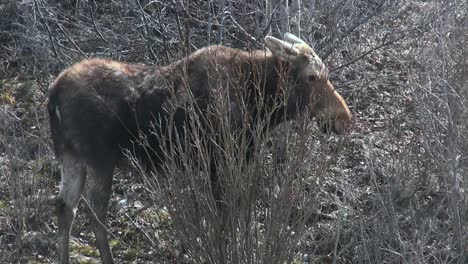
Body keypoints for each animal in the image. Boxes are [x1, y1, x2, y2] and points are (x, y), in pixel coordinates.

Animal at [47, 33, 352, 264]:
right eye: (312, 76)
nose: (343, 118)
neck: (261, 103)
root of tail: (53, 95)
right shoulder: (222, 158)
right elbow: (226, 213)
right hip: (100, 160)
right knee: (94, 209)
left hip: (70, 157)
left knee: (65, 207)